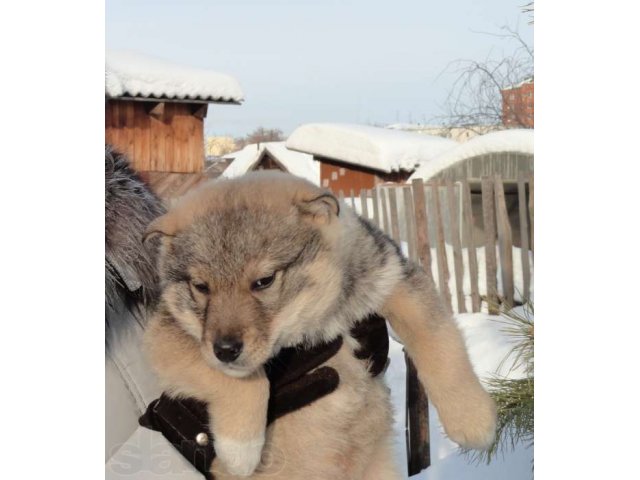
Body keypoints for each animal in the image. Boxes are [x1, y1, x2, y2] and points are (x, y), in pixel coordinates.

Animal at [144, 171, 496, 478]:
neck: (318, 323)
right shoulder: (167, 337)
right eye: (201, 287)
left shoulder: (394, 277)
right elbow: (244, 383)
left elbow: (438, 340)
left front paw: (473, 419)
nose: (225, 350)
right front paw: (239, 450)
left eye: (264, 281)